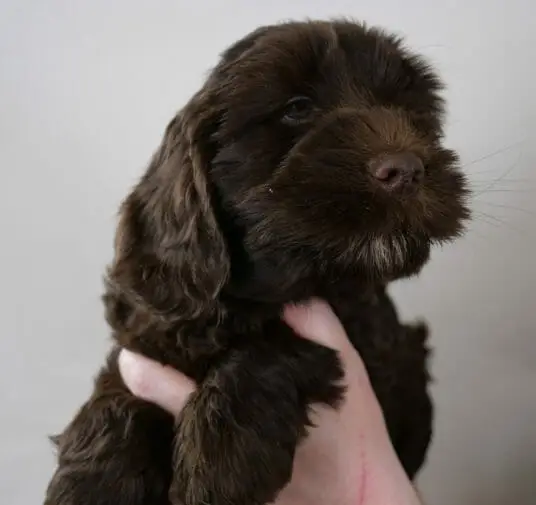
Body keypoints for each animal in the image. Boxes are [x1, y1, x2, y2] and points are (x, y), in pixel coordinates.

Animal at [43, 17, 468, 504]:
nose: (406, 170)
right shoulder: (151, 325)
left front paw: (219, 459)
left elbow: (274, 342)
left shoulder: (370, 339)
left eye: (409, 111)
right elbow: (116, 389)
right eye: (297, 108)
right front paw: (91, 481)